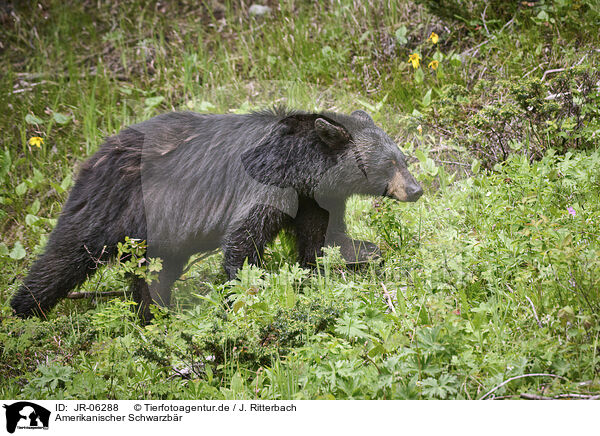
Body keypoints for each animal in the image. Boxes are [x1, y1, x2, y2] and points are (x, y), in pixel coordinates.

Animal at [9, 108, 422, 320]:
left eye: (402, 157)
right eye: (388, 163)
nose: (416, 189)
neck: (301, 166)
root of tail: (93, 155)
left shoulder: (313, 198)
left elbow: (322, 241)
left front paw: (364, 253)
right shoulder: (268, 186)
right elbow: (244, 239)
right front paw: (242, 294)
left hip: (159, 233)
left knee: (153, 272)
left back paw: (155, 312)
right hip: (112, 203)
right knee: (66, 254)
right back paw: (24, 310)